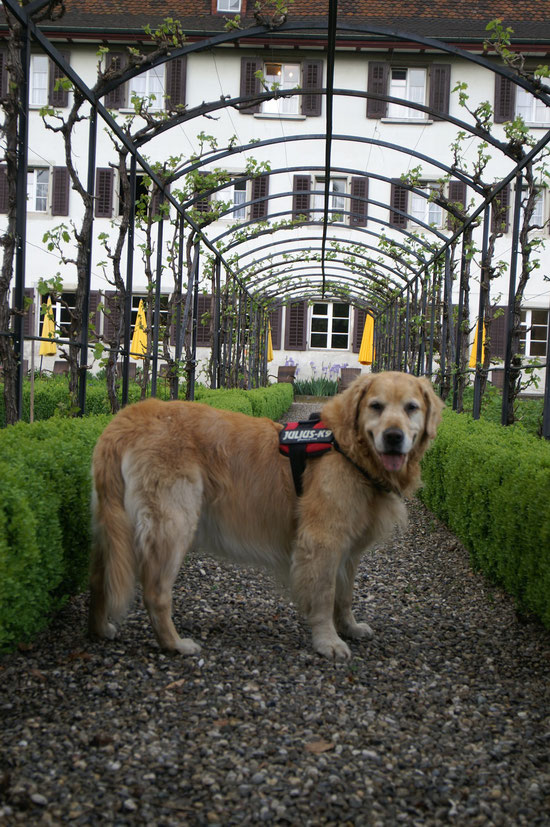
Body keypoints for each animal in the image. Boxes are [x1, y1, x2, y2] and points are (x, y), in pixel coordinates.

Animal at [89, 372, 444, 664]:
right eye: (376, 406)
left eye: (411, 408)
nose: (394, 436)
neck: (346, 447)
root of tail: (128, 416)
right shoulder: (322, 540)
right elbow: (324, 595)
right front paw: (327, 641)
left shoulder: (348, 548)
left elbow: (344, 596)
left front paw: (350, 627)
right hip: (174, 524)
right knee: (155, 592)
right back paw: (174, 643)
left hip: (112, 526)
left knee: (100, 581)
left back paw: (101, 628)